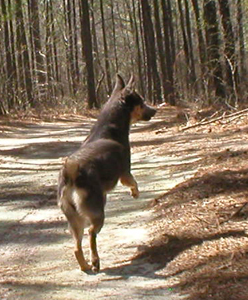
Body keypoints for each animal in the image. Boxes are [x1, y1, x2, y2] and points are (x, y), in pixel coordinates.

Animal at [57, 74, 156, 272]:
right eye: (142, 102)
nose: (155, 110)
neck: (109, 127)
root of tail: (70, 174)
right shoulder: (125, 173)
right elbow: (133, 182)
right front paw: (135, 193)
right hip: (97, 213)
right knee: (91, 234)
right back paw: (95, 261)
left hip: (74, 220)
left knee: (76, 247)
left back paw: (85, 266)